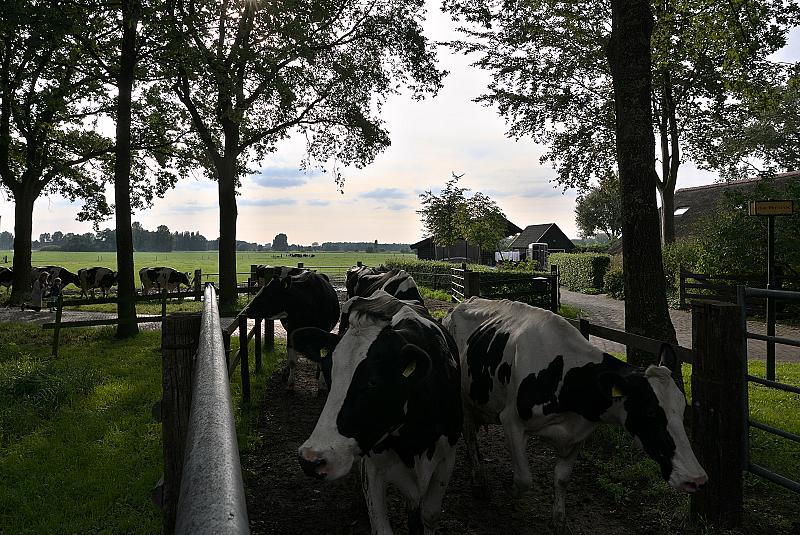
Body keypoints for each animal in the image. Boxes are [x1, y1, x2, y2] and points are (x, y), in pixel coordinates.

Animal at [292, 291, 462, 535]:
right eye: (328, 372)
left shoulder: (447, 457)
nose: (311, 459)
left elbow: (429, 515)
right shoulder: (373, 468)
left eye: (373, 382)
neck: (414, 441)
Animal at [443, 297, 708, 534]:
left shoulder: (579, 433)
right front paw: (511, 494)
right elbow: (523, 479)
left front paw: (559, 521)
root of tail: (460, 304)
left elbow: (562, 478)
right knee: (469, 435)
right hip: (463, 400)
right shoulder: (512, 422)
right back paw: (479, 480)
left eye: (682, 409)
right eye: (650, 411)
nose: (696, 479)